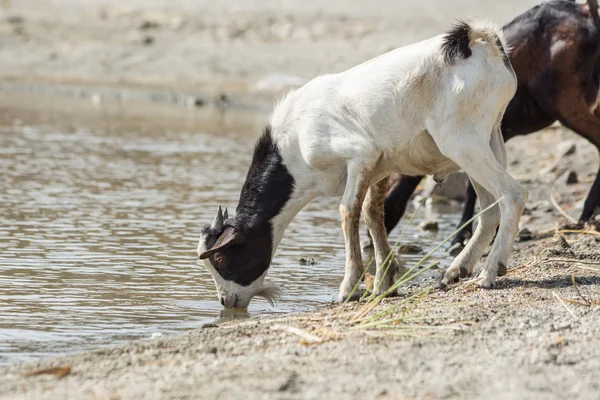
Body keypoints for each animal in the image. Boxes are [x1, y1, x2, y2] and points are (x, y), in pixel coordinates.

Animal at [197, 20, 524, 308]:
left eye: (220, 258)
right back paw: (457, 270)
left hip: (461, 140)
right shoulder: (380, 166)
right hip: (488, 139)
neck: (295, 140)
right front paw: (383, 284)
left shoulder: (360, 154)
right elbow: (372, 213)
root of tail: (478, 41)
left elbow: (348, 211)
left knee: (512, 195)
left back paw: (490, 272)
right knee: (490, 208)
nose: (225, 301)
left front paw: (349, 289)